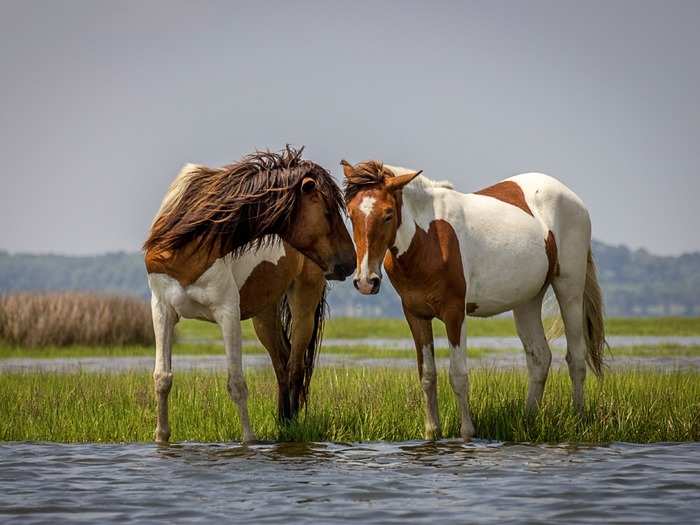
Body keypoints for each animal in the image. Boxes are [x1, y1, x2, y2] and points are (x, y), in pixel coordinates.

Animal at [144, 147, 356, 442]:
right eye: (327, 212)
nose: (350, 262)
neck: (188, 244)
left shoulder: (227, 313)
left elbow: (236, 383)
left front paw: (249, 440)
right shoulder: (162, 310)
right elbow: (162, 377)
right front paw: (161, 437)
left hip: (304, 301)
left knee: (295, 366)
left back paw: (291, 426)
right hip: (264, 314)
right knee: (282, 362)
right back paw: (283, 423)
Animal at [342, 160, 604, 442]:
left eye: (388, 214)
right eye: (351, 214)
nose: (366, 281)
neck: (428, 239)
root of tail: (573, 199)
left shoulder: (455, 313)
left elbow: (458, 375)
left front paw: (467, 433)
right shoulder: (415, 314)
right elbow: (427, 375)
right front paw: (432, 432)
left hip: (569, 290)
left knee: (576, 358)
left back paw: (579, 420)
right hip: (527, 300)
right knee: (539, 358)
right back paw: (527, 421)